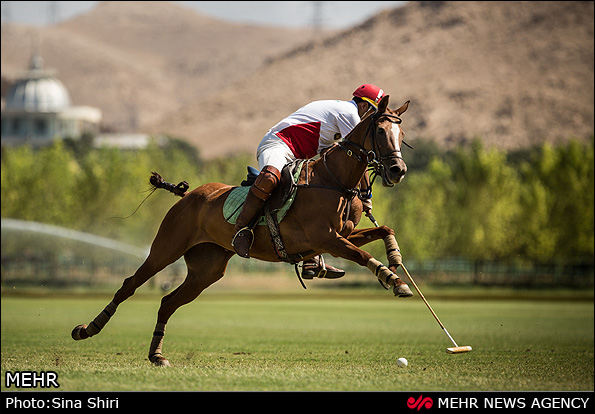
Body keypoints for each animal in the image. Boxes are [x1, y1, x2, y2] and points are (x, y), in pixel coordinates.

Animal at [71, 95, 414, 368]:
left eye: (402, 133)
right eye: (381, 131)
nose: (397, 170)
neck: (331, 180)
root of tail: (189, 196)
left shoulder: (337, 236)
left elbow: (384, 229)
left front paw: (395, 259)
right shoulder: (326, 237)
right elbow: (363, 255)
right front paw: (394, 280)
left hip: (207, 269)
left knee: (168, 302)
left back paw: (156, 355)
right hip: (165, 249)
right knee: (129, 285)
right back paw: (88, 329)